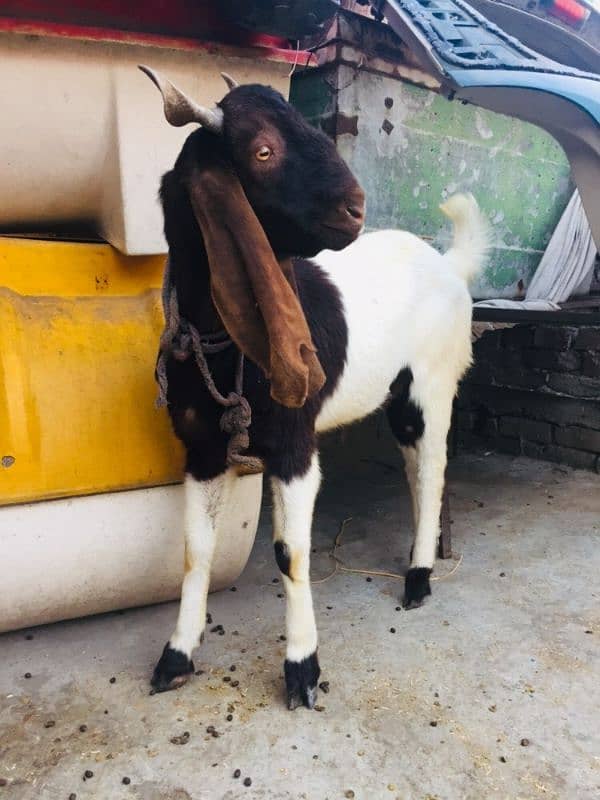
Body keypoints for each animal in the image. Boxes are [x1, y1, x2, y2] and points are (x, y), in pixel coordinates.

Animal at [143, 65, 490, 708]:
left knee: (432, 471)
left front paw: (302, 667)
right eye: (262, 150)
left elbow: (290, 552)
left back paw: (419, 579)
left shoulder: (295, 445)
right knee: (414, 468)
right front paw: (176, 656)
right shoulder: (200, 449)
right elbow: (195, 550)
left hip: (433, 383)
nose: (355, 207)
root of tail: (449, 266)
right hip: (400, 397)